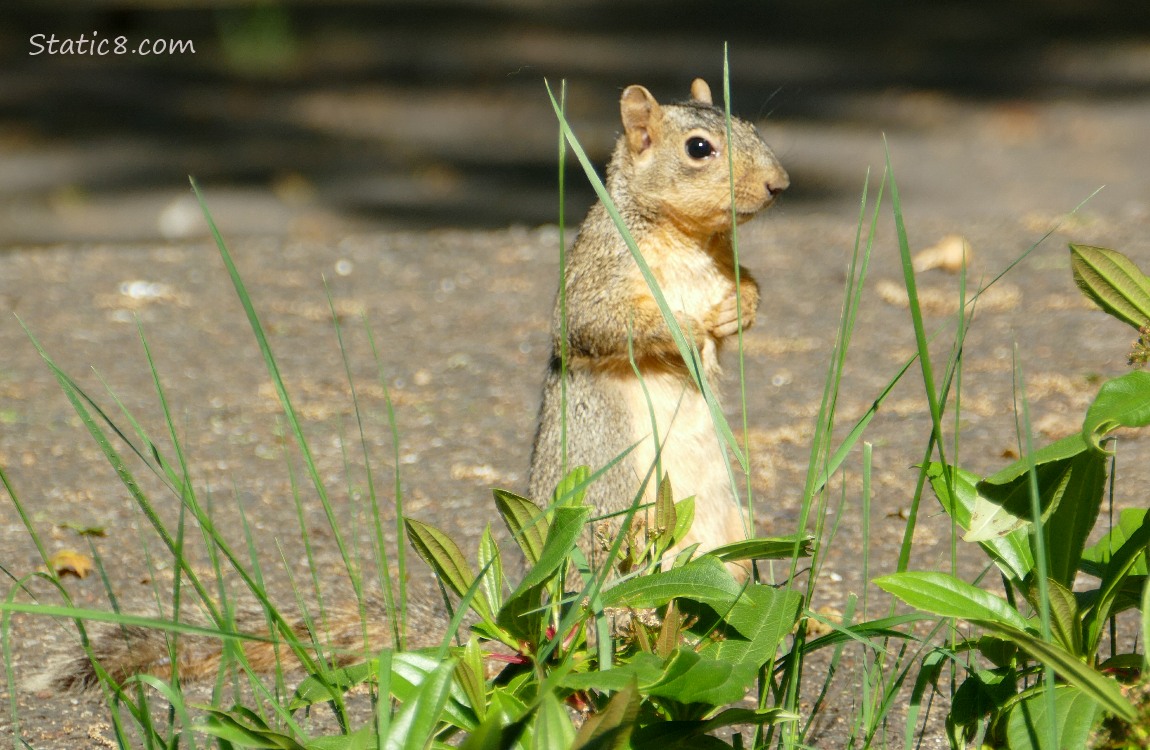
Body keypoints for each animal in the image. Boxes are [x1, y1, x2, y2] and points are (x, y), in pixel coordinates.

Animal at [526, 77, 786, 575]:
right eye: (698, 148)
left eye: (748, 125)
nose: (779, 185)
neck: (687, 239)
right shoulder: (596, 275)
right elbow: (595, 323)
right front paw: (687, 327)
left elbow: (747, 287)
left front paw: (736, 310)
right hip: (616, 509)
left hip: (738, 531)